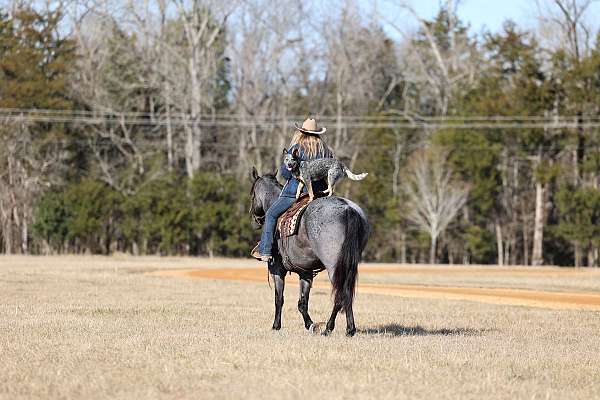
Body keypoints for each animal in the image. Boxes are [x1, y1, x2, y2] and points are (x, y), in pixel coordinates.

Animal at [250, 167, 370, 336]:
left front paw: (276, 325)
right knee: (347, 294)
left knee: (340, 294)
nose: (255, 221)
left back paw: (329, 328)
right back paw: (349, 329)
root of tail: (347, 208)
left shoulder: (277, 269)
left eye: (252, 194)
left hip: (334, 267)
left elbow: (279, 299)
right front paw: (310, 324)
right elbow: (302, 302)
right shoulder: (305, 272)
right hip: (349, 265)